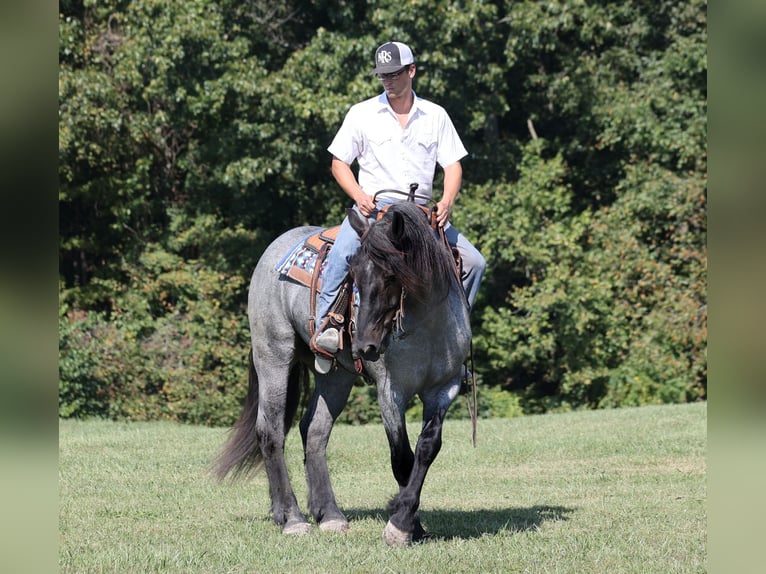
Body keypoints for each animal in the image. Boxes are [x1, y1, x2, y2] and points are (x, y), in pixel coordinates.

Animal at [213, 202, 472, 548]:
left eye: (392, 275)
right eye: (354, 273)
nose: (365, 344)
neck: (427, 324)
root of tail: (275, 247)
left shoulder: (445, 388)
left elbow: (427, 448)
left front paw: (409, 521)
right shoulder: (391, 392)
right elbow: (402, 458)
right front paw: (402, 523)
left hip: (335, 375)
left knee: (314, 431)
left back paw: (327, 514)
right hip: (273, 355)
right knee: (270, 431)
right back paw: (292, 518)